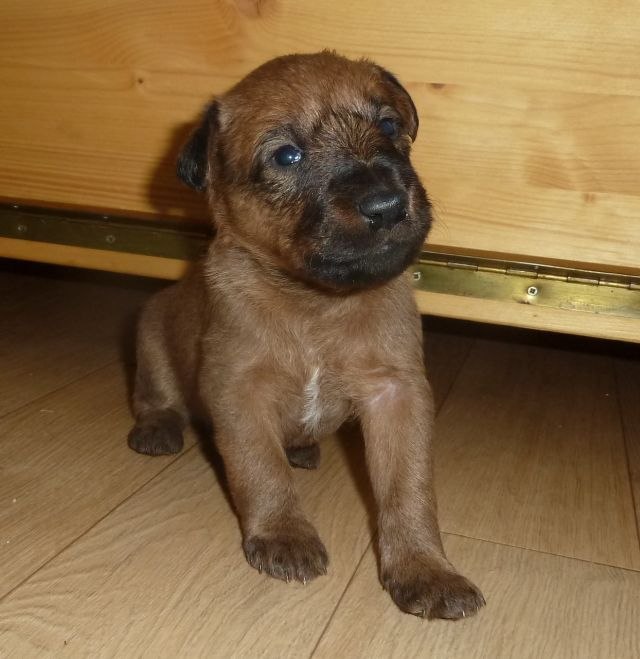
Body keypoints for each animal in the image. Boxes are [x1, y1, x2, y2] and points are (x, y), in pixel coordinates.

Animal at [128, 51, 484, 620]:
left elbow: (408, 488)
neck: (318, 305)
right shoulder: (240, 390)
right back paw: (158, 429)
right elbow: (260, 469)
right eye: (287, 155)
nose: (386, 204)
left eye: (389, 125)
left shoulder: (397, 393)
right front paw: (284, 536)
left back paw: (301, 448)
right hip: (151, 333)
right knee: (154, 396)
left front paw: (426, 569)